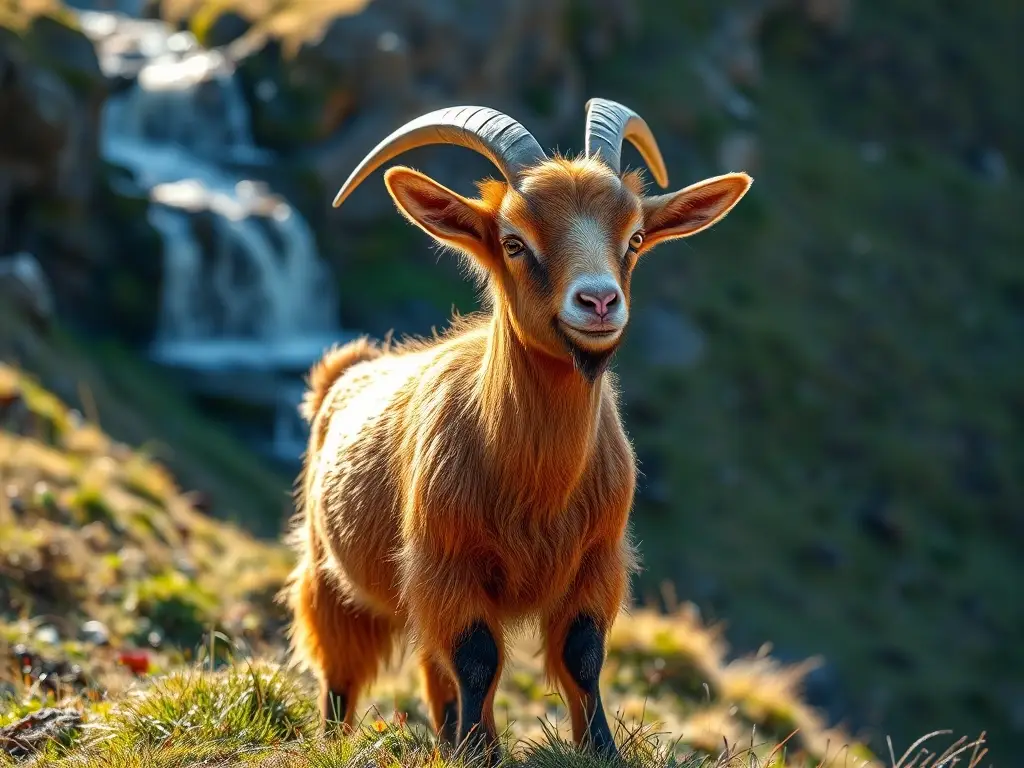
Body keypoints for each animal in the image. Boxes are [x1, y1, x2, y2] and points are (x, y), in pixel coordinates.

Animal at [283, 99, 752, 760]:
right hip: (327, 572)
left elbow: (582, 656)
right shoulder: (446, 564)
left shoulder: (597, 561)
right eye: (513, 241)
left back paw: (446, 737)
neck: (534, 485)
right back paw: (337, 741)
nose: (599, 301)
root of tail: (345, 370)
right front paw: (482, 751)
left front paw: (598, 749)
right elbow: (478, 659)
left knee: (432, 672)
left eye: (634, 238)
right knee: (342, 671)